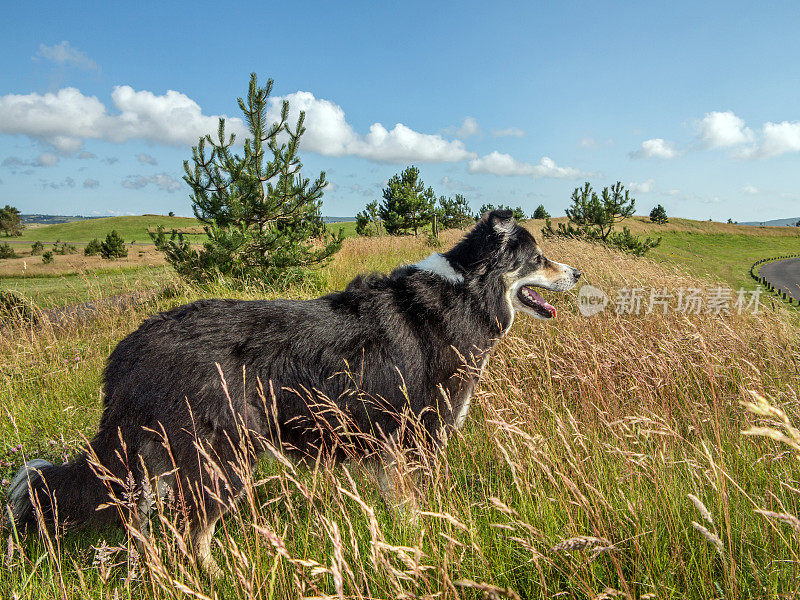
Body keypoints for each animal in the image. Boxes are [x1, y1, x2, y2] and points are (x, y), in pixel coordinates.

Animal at [7, 210, 580, 572]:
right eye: (538, 258)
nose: (576, 272)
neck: (466, 292)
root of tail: (129, 349)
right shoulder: (415, 436)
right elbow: (416, 508)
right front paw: (422, 543)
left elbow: (396, 507)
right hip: (223, 456)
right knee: (191, 537)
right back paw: (214, 576)